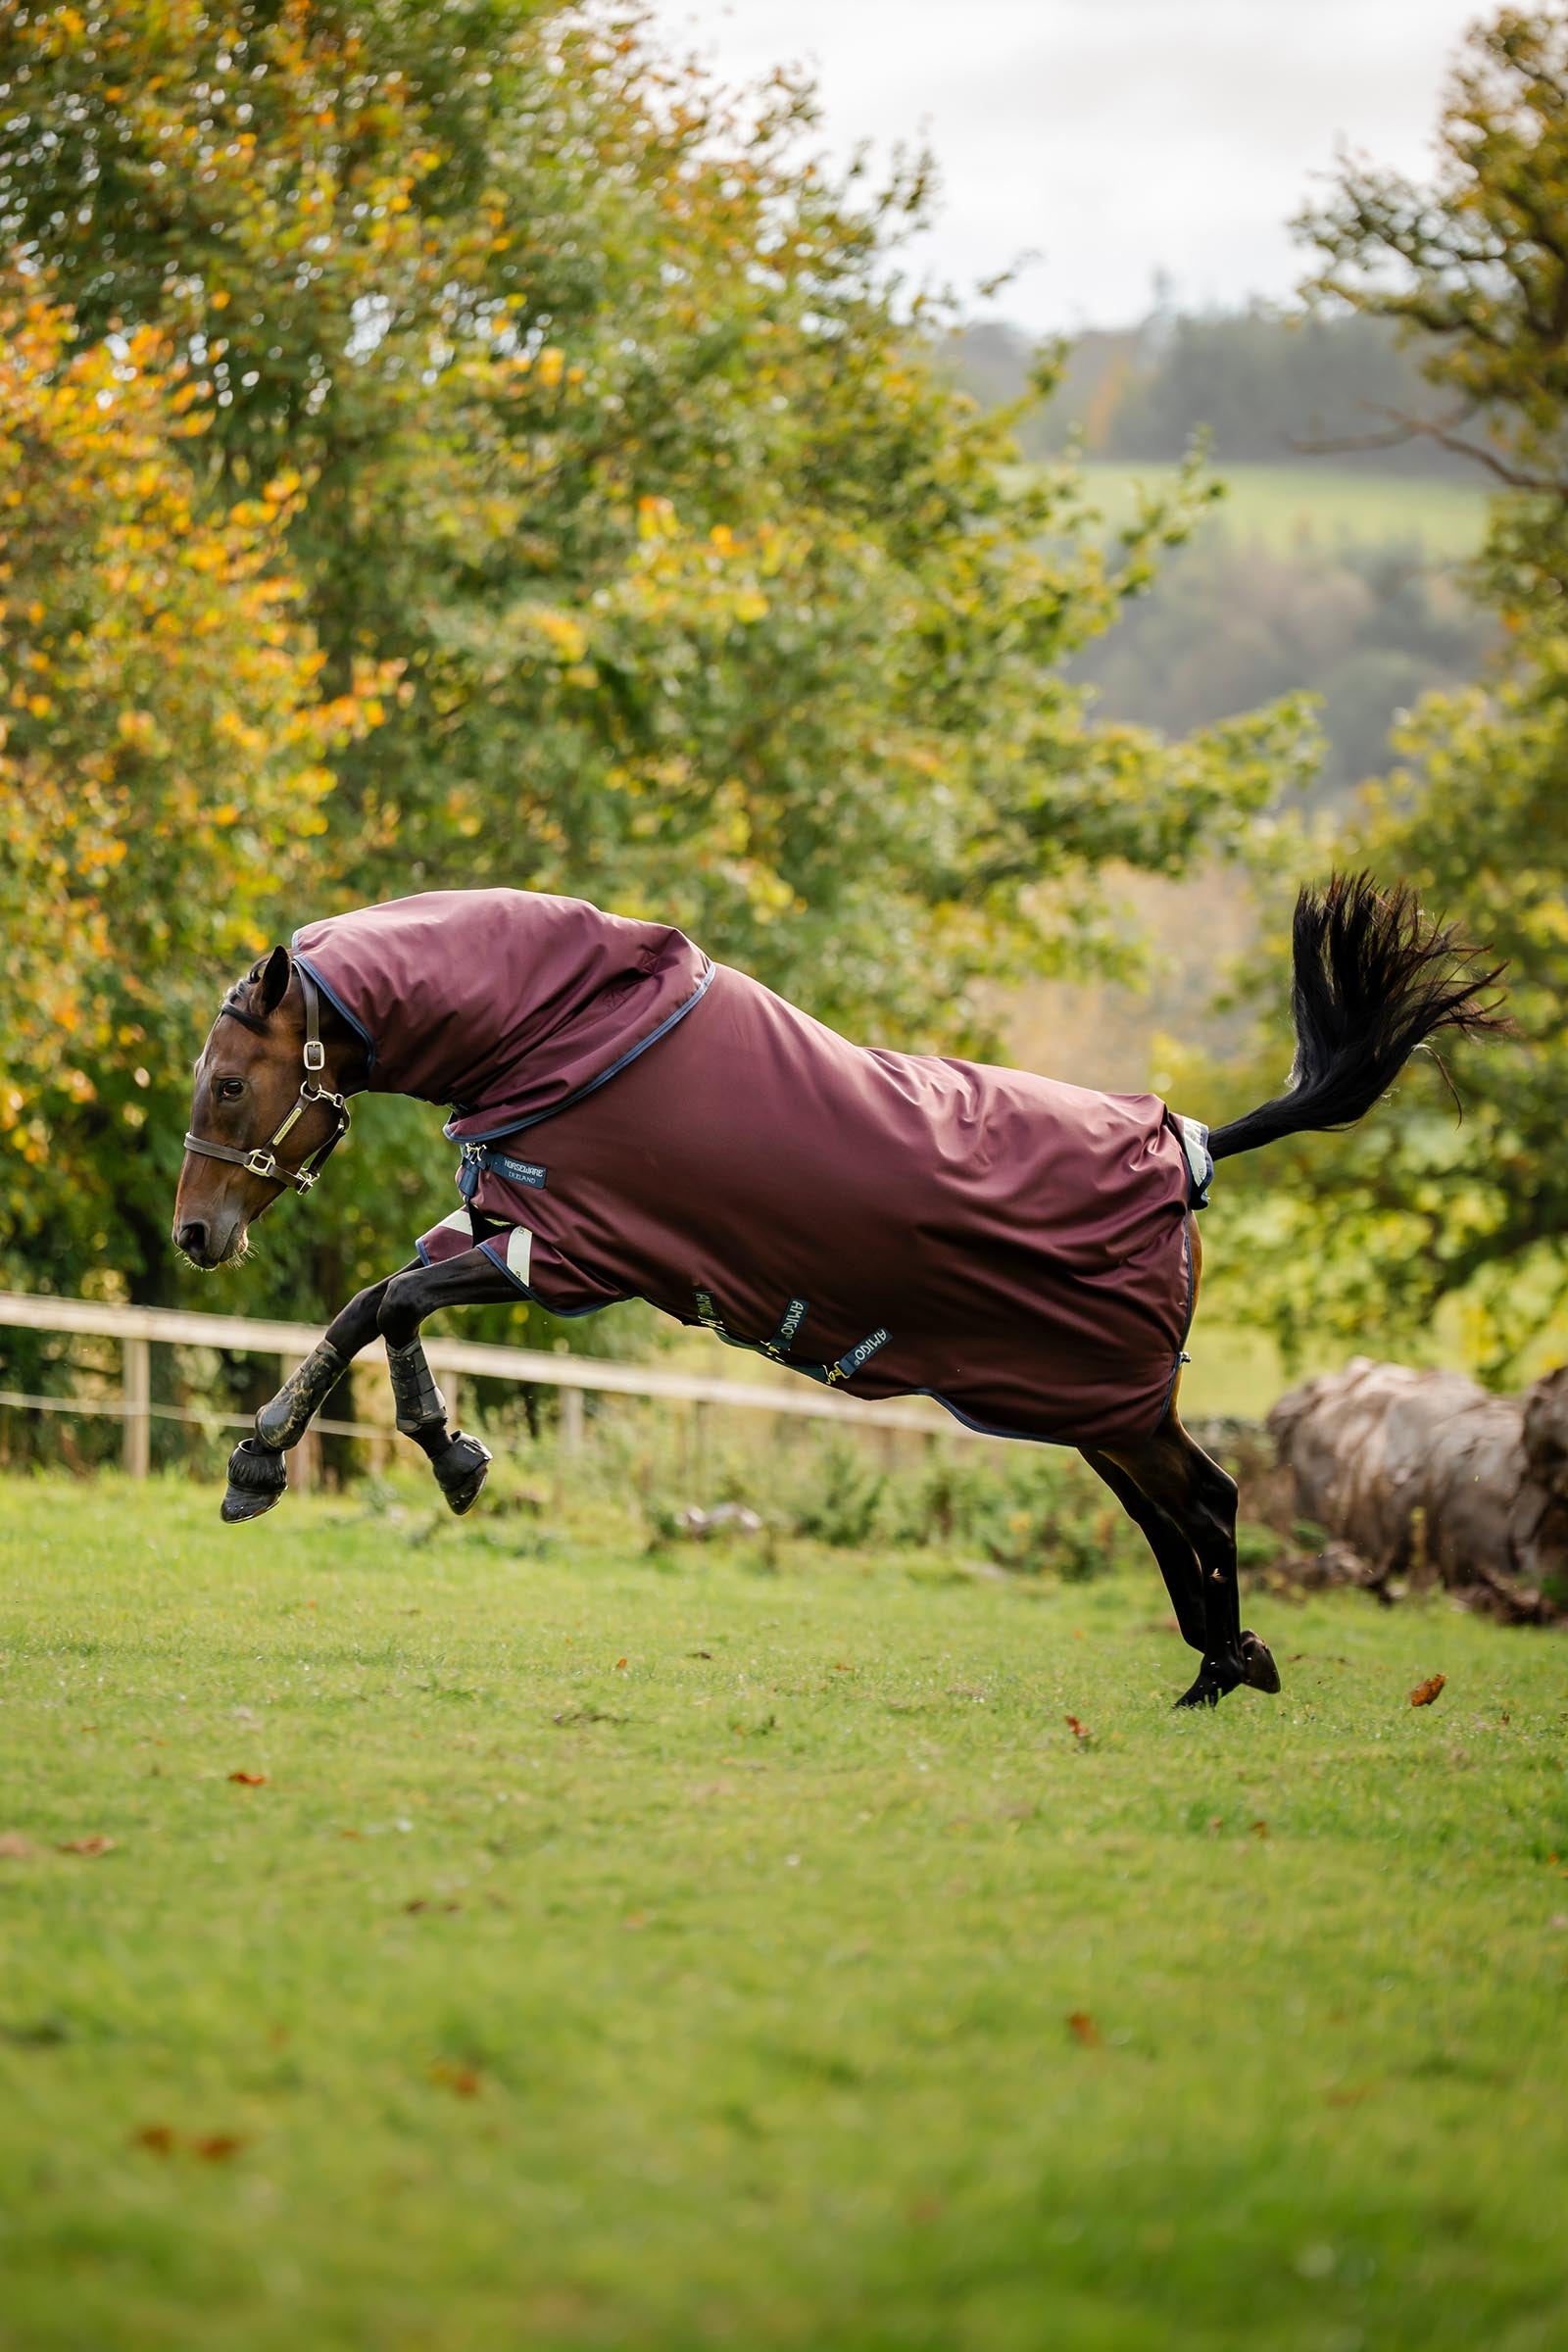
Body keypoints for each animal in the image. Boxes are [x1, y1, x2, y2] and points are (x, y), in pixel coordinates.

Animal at [172, 873, 1503, 1709]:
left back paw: (1217, 1673)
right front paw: (307, 1460)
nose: (195, 1233)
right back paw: (1223, 1665)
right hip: (1095, 1410)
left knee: (1209, 1503)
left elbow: (386, 1306)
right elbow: (370, 1306)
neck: (565, 1029)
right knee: (1175, 1510)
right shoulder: (507, 1226)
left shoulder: (571, 1254)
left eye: (230, 1084)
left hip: (1107, 1404)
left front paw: (402, 1457)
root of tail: (1193, 1150)